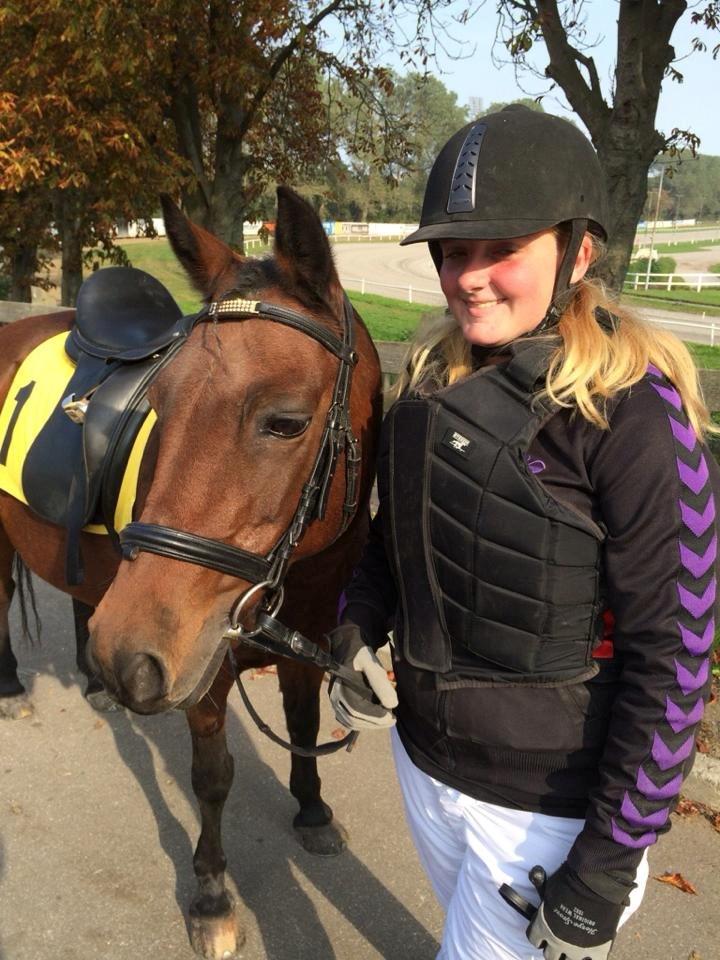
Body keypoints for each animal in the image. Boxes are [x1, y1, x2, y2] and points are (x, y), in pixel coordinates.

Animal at [0, 186, 382, 959]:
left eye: (286, 422)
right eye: (159, 405)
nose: (128, 655)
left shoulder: (303, 639)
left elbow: (303, 723)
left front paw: (312, 809)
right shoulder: (198, 663)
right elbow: (213, 778)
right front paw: (211, 894)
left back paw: (94, 680)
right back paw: (14, 687)